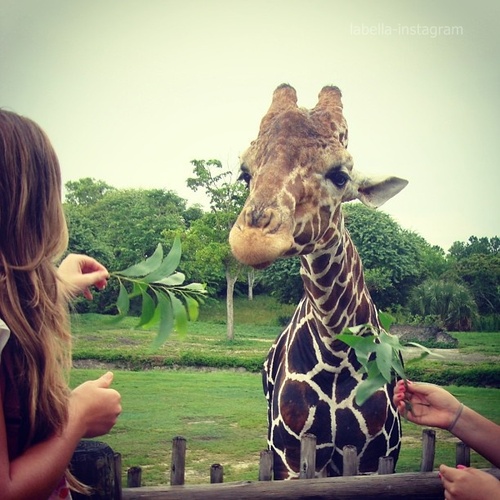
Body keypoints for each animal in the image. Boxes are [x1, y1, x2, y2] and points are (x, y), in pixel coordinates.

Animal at [229, 84, 408, 478]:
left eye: (340, 176)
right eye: (246, 173)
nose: (253, 240)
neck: (336, 352)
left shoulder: (374, 456)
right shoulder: (290, 456)